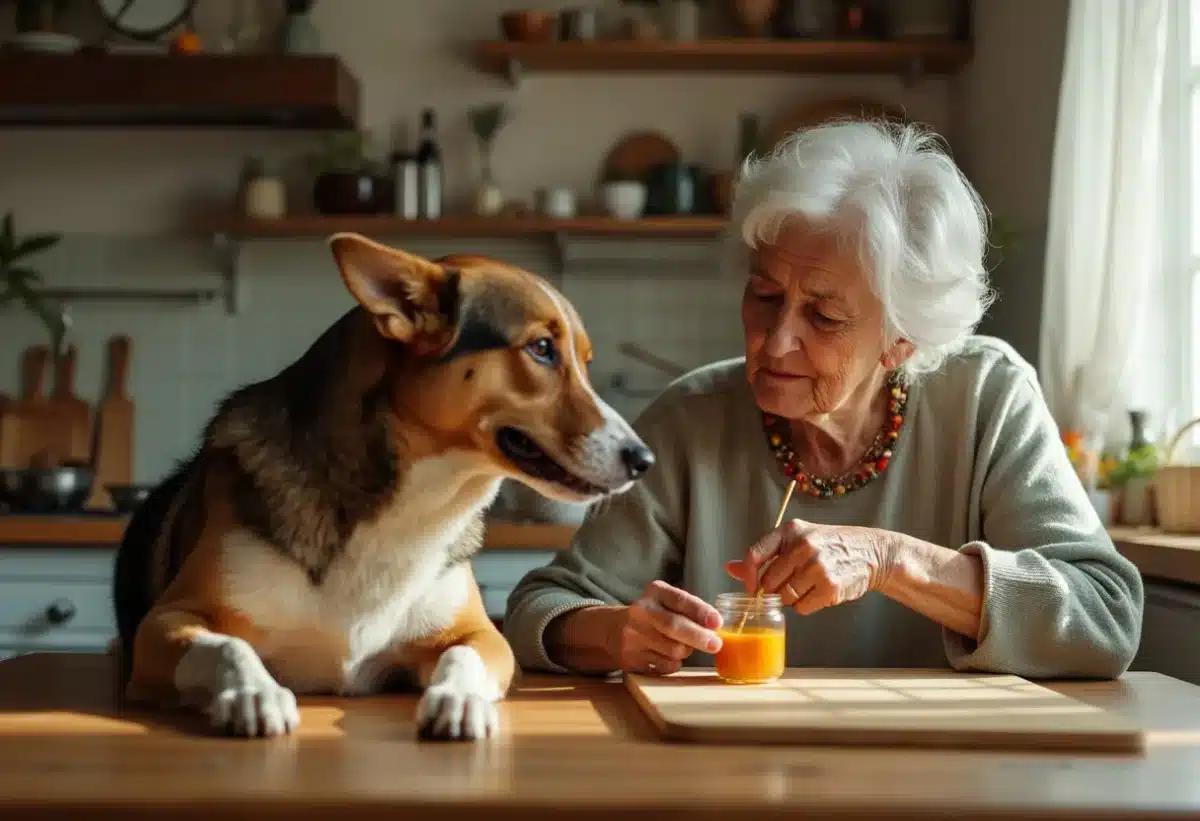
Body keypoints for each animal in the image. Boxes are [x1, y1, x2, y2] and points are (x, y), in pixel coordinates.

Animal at [112, 234, 657, 739]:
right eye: (541, 349)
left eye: (584, 360)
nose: (643, 461)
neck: (412, 507)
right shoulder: (166, 621)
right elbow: (229, 645)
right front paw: (253, 693)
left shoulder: (481, 634)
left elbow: (464, 658)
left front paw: (459, 700)